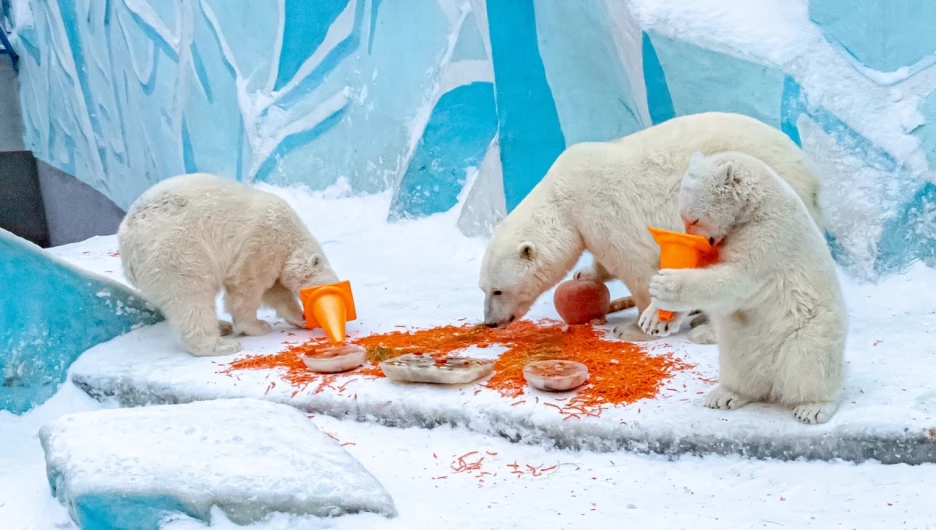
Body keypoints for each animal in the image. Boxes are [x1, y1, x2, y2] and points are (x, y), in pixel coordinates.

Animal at [116, 173, 336, 354]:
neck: (291, 234)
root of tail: (127, 238)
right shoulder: (261, 243)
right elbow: (247, 287)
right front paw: (257, 326)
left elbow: (275, 291)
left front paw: (299, 317)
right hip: (176, 250)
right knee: (191, 296)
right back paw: (221, 345)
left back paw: (222, 327)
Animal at [478, 112, 824, 342]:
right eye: (484, 288)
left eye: (499, 290)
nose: (490, 323)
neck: (562, 198)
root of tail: (811, 177)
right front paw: (585, 274)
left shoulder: (603, 209)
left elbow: (636, 265)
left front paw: (637, 327)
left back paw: (706, 330)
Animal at [644, 151, 848, 422]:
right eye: (682, 216)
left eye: (694, 218)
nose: (688, 235)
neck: (754, 207)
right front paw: (655, 319)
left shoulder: (770, 236)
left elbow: (736, 280)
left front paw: (664, 284)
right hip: (740, 342)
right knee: (740, 367)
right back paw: (725, 395)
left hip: (811, 329)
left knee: (809, 363)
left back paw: (813, 407)